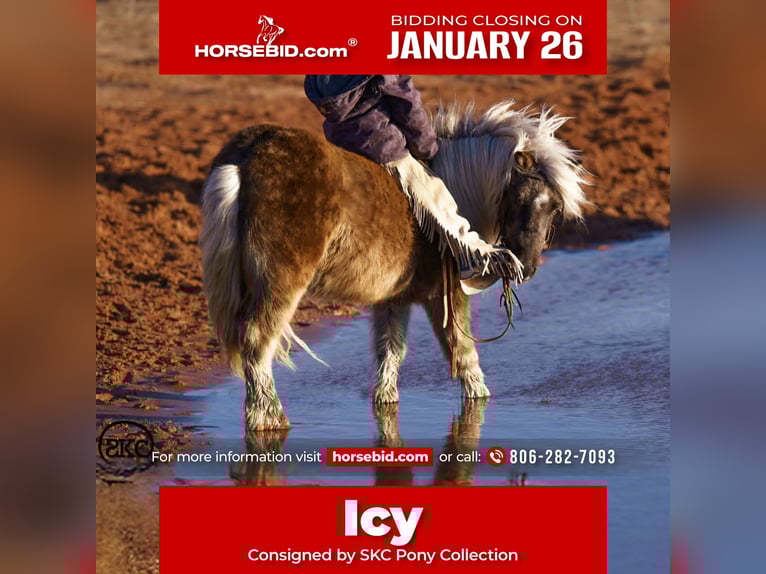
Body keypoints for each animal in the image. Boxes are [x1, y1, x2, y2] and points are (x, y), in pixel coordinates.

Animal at [199, 101, 590, 432]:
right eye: (526, 198)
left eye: (555, 208)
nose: (527, 266)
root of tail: (247, 156)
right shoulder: (446, 294)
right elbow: (462, 351)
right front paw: (479, 402)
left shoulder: (394, 298)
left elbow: (391, 349)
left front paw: (385, 402)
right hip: (281, 281)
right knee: (258, 342)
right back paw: (270, 420)